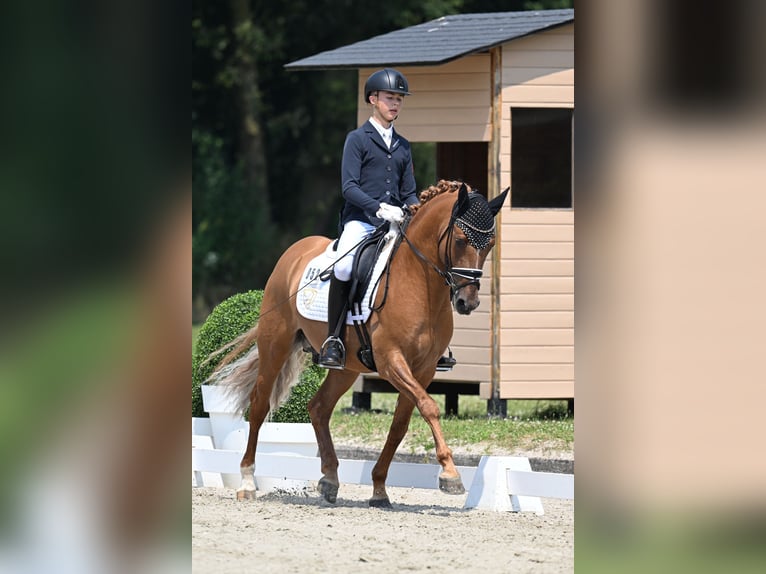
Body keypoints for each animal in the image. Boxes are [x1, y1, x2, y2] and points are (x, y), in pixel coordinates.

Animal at [210, 180, 510, 508]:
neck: (420, 284)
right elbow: (430, 407)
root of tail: (295, 251)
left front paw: (379, 489)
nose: (468, 302)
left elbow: (400, 424)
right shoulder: (391, 360)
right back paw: (247, 481)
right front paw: (450, 474)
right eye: (459, 240)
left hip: (347, 367)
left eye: (491, 244)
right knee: (260, 404)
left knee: (319, 407)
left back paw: (330, 480)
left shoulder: (425, 369)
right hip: (275, 345)